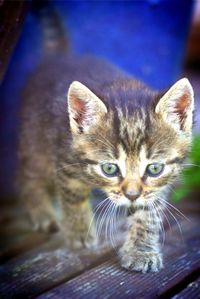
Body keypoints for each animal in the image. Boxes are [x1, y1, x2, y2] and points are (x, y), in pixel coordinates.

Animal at [18, 54, 194, 274]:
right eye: (109, 169)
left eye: (155, 168)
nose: (132, 195)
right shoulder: (66, 160)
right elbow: (74, 198)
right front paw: (79, 234)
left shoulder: (157, 186)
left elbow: (148, 213)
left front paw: (140, 251)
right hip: (35, 141)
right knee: (28, 176)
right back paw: (42, 213)